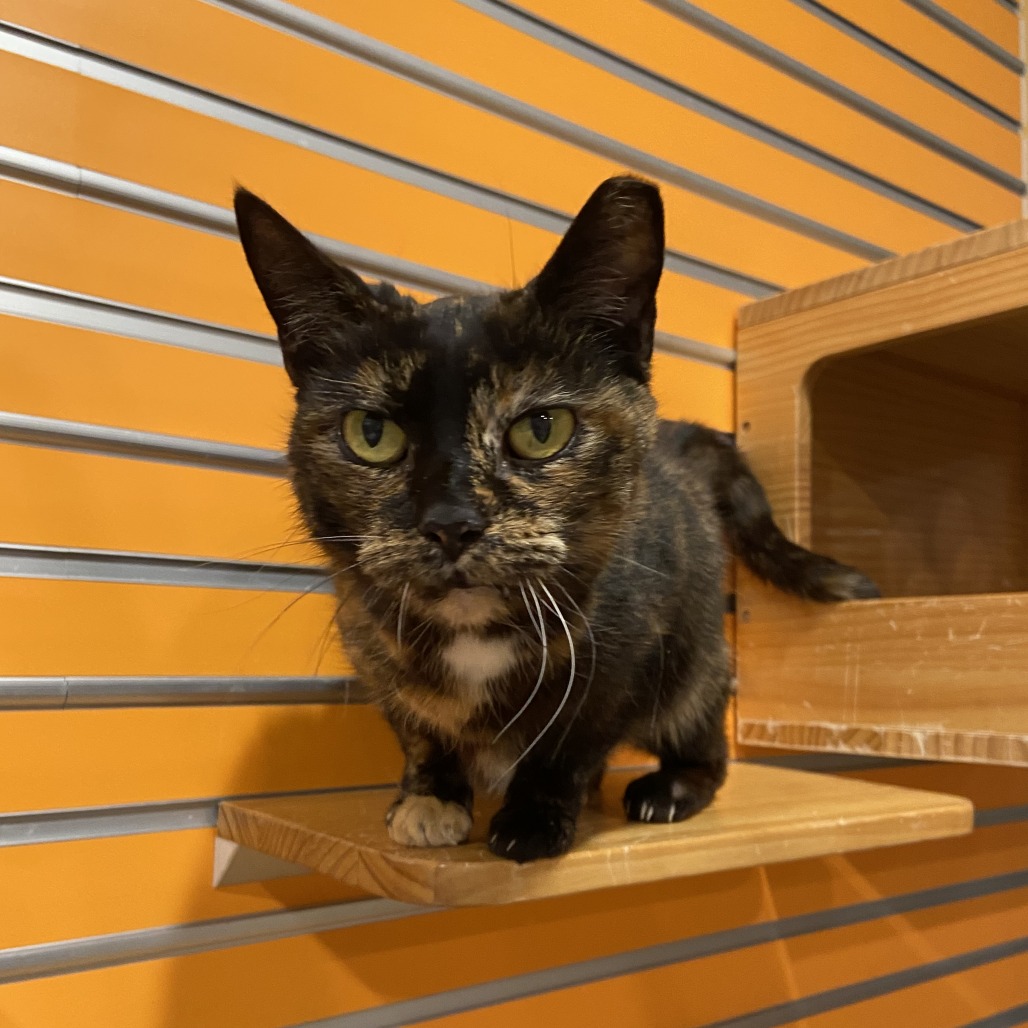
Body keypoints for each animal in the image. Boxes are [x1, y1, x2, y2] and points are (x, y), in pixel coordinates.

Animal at [234, 175, 878, 864]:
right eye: (371, 433)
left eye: (542, 429)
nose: (451, 522)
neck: (475, 633)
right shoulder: (371, 643)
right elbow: (421, 729)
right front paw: (430, 797)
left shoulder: (621, 656)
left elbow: (567, 743)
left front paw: (534, 817)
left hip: (695, 662)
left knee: (704, 736)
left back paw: (670, 788)